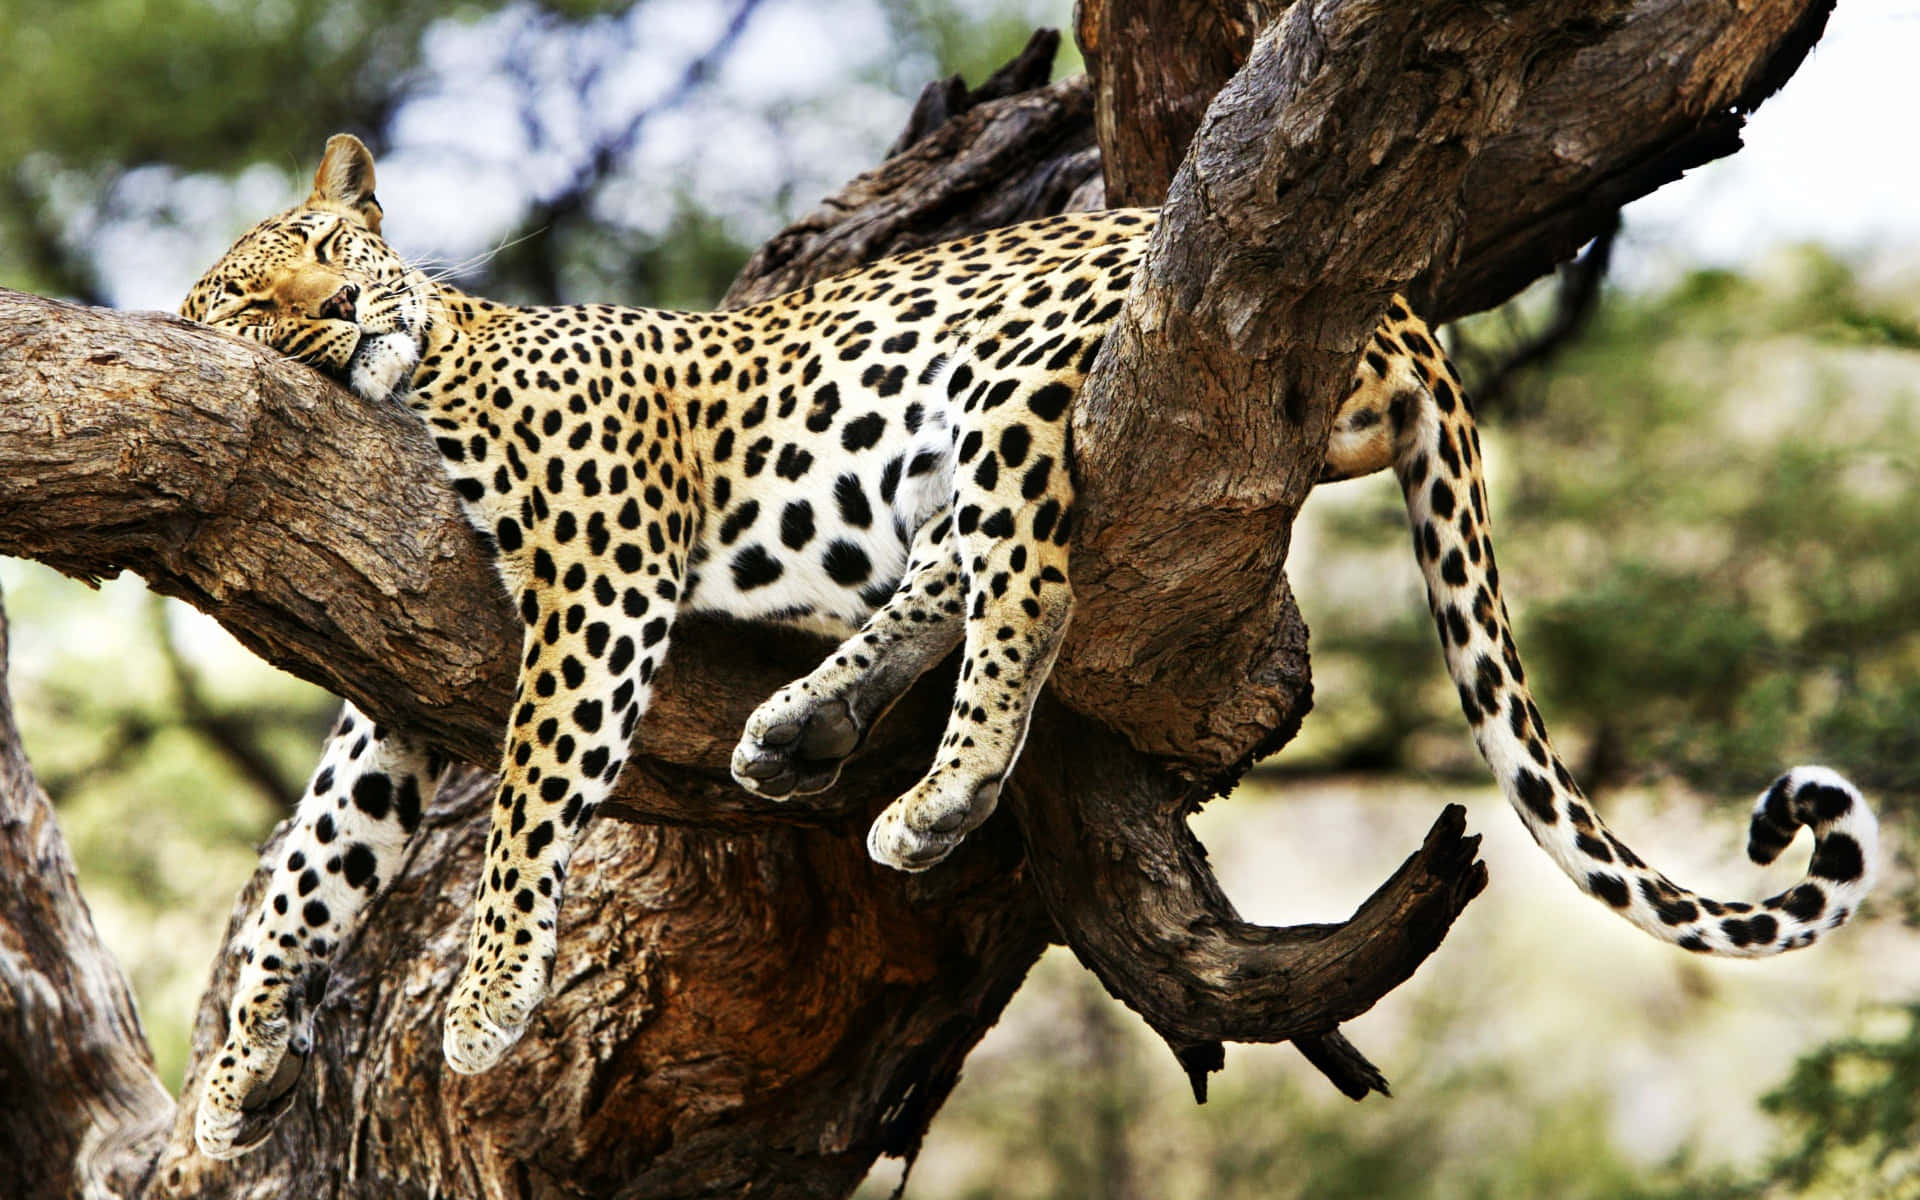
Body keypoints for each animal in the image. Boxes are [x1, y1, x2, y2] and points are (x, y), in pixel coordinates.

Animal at [180, 135, 1873, 1159]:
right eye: (252, 300)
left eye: (330, 244)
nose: (339, 311)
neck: (430, 368)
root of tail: (1398, 304)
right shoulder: (399, 678)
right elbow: (316, 859)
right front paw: (232, 1073)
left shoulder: (599, 580)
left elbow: (530, 805)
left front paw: (481, 1003)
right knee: (958, 570)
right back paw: (803, 727)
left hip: (1008, 383)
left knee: (1032, 587)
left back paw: (934, 795)